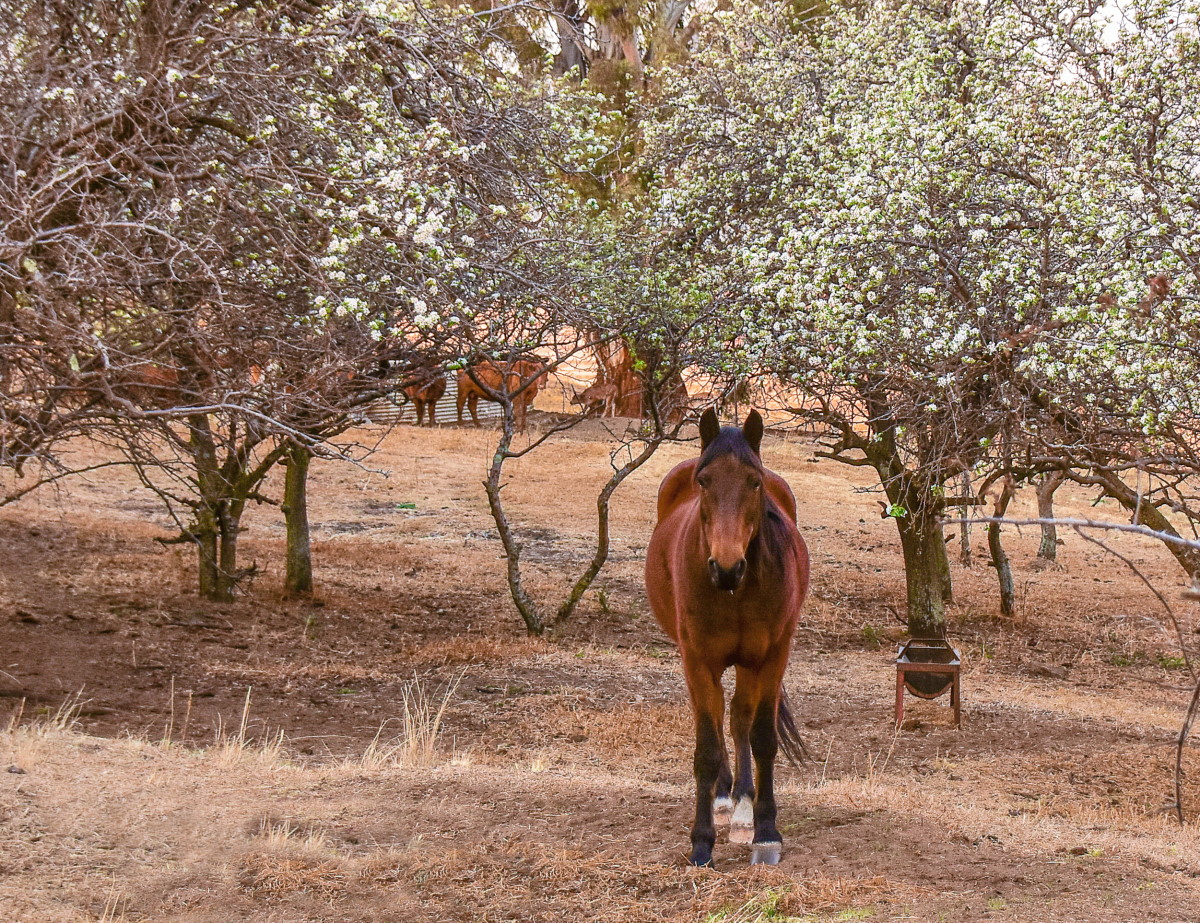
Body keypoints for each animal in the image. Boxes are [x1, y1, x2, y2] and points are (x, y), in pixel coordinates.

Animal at [643, 408, 811, 864]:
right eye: (704, 481)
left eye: (754, 482)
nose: (727, 567)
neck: (736, 591)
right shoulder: (698, 659)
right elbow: (706, 746)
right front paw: (701, 843)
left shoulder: (771, 657)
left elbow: (761, 737)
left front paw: (766, 831)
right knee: (718, 721)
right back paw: (722, 800)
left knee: (738, 721)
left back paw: (742, 807)